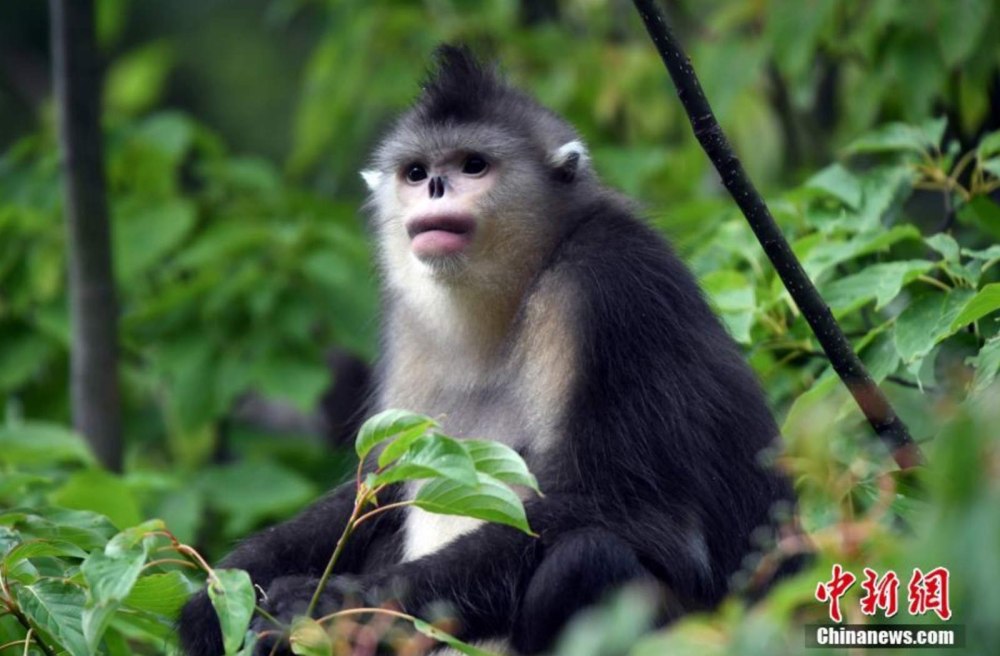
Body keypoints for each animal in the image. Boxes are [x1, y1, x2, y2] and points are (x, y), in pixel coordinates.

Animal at [179, 45, 795, 656]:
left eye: (473, 165)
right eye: (416, 172)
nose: (434, 187)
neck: (518, 290)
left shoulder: (611, 288)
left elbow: (633, 508)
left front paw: (333, 604)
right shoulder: (410, 324)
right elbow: (378, 481)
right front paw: (223, 593)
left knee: (586, 557)